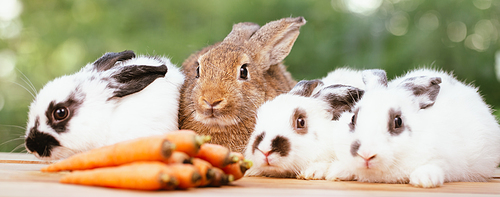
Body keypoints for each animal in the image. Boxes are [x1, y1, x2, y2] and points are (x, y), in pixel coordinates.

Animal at [326, 67, 500, 188]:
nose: (366, 154)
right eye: (353, 118)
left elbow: (437, 165)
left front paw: (425, 180)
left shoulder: (446, 160)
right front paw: (336, 171)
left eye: (398, 121)